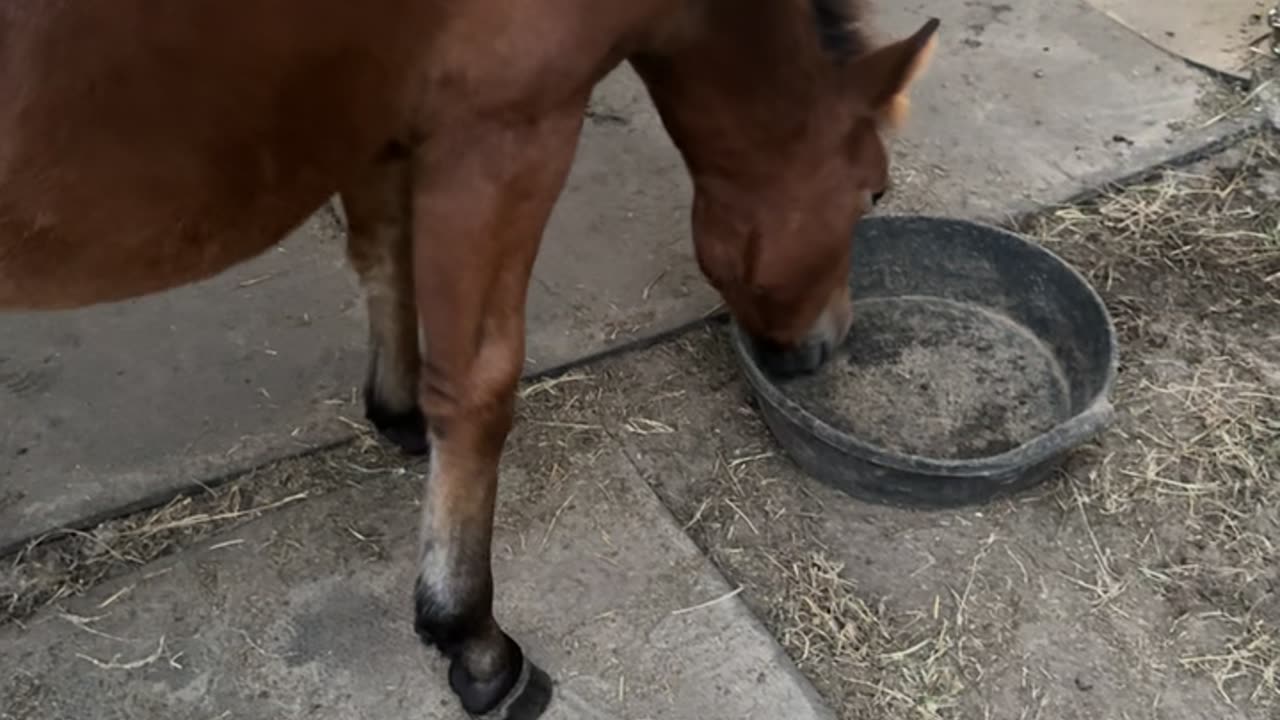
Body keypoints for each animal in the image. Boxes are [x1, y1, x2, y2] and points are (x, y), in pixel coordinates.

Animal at [0, 0, 937, 716]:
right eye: (874, 190)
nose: (823, 347)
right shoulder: (509, 135)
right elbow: (478, 388)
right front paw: (474, 642)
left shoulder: (391, 122)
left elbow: (385, 257)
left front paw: (396, 409)